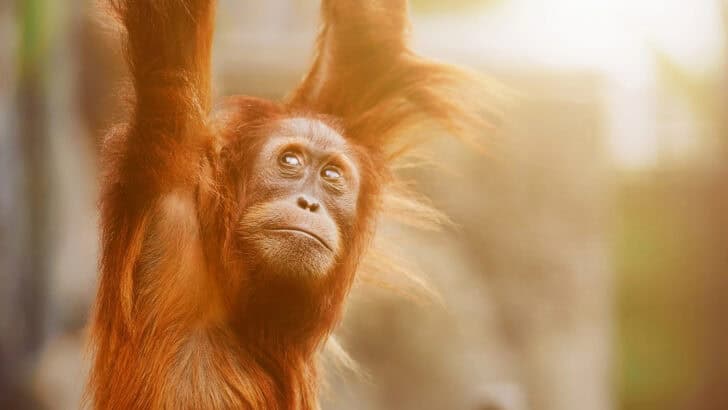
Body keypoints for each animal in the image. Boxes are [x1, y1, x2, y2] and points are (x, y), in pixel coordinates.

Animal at [88, 0, 496, 409]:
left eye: (331, 175)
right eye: (290, 161)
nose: (309, 203)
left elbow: (362, 45)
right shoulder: (174, 168)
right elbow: (171, 35)